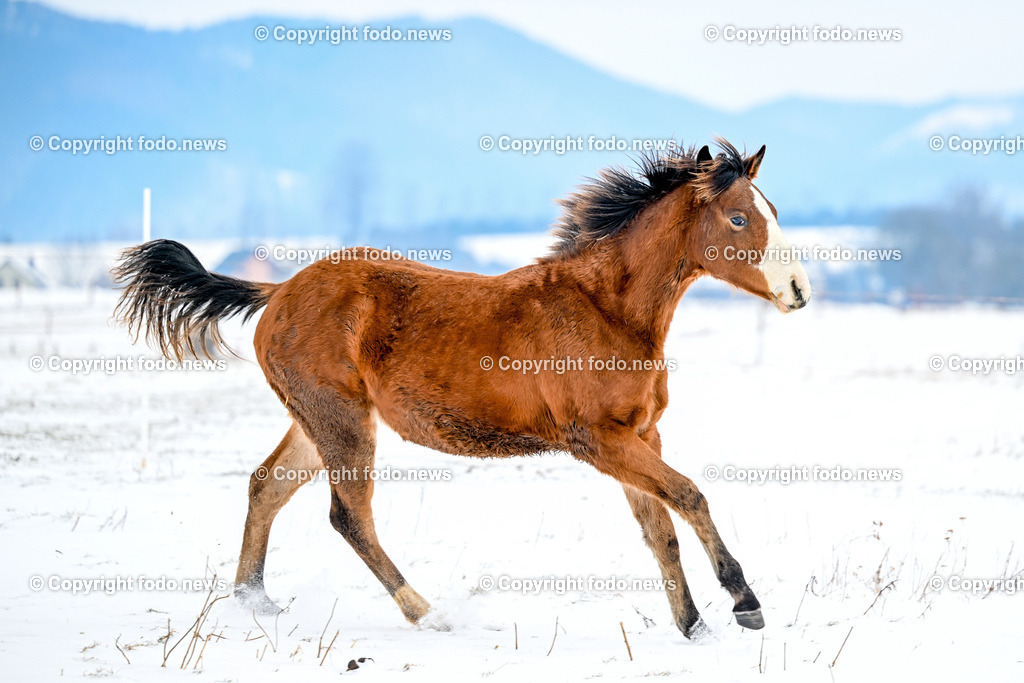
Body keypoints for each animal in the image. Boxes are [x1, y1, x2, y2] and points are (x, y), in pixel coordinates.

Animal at [113, 139, 810, 640]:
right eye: (739, 217)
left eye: (773, 211)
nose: (799, 290)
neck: (607, 310)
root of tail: (277, 290)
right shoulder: (597, 439)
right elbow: (689, 496)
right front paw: (743, 603)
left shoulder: (641, 433)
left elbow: (660, 526)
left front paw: (692, 626)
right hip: (341, 421)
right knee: (348, 516)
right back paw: (429, 613)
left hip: (317, 421)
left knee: (266, 487)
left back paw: (255, 603)